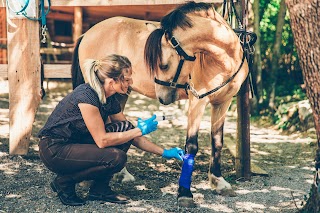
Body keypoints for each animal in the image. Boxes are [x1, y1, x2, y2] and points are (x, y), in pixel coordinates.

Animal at [71, 1, 254, 208]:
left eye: (164, 65)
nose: (162, 97)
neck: (222, 61)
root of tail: (88, 33)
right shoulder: (198, 101)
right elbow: (191, 146)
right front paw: (184, 193)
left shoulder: (223, 103)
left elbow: (217, 142)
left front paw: (219, 182)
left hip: (119, 94)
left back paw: (121, 174)